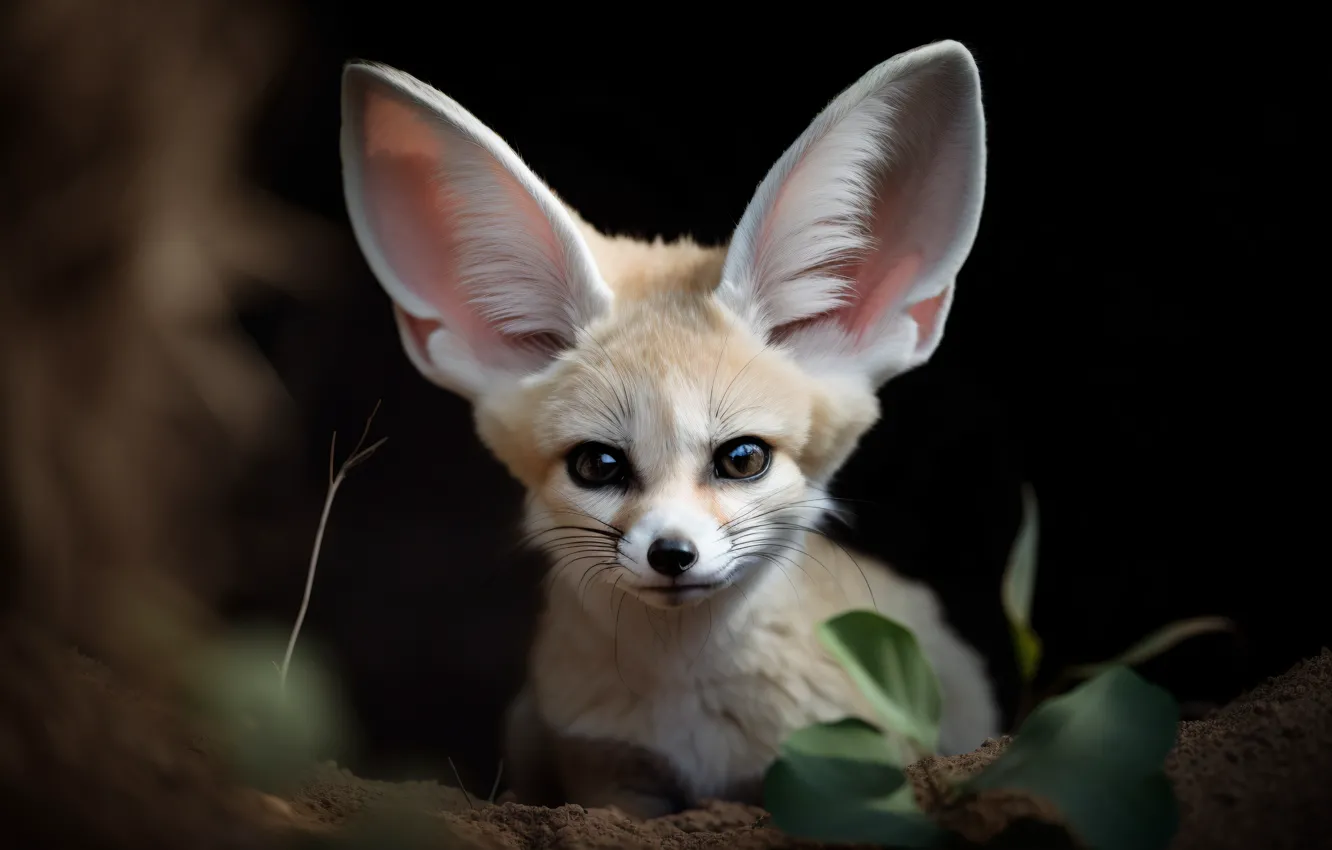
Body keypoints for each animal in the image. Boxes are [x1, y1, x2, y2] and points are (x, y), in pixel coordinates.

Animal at [338, 39, 1000, 818]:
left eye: (742, 458)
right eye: (598, 465)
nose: (672, 554)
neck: (690, 709)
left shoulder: (824, 767)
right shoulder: (609, 775)